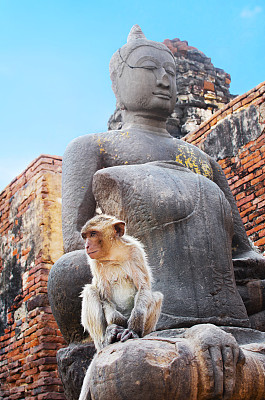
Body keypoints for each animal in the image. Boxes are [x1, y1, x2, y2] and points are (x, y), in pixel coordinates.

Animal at [79, 216, 162, 350]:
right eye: (85, 236)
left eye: (92, 234)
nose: (86, 246)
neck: (113, 255)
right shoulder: (95, 263)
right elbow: (104, 296)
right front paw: (117, 322)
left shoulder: (135, 251)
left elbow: (143, 288)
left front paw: (133, 329)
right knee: (90, 291)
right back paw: (107, 338)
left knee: (156, 296)